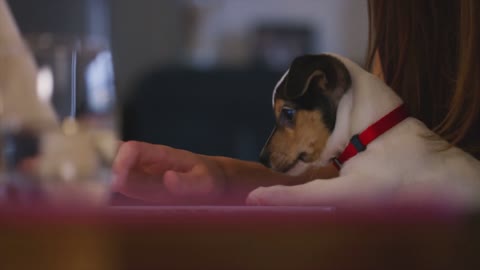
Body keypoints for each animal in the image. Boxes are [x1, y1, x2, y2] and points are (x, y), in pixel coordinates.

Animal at [248, 53, 480, 209]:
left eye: (287, 113)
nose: (262, 158)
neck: (369, 135)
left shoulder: (364, 186)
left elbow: (313, 187)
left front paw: (267, 194)